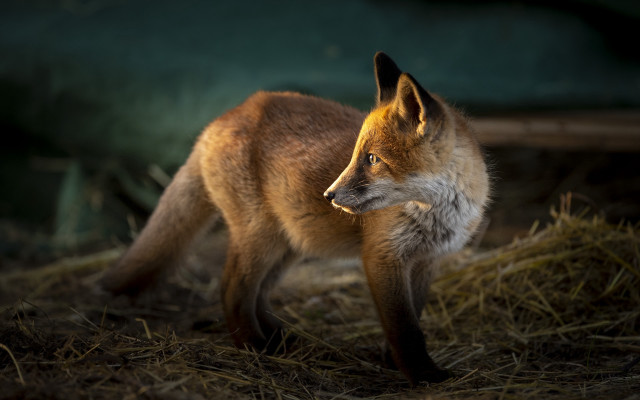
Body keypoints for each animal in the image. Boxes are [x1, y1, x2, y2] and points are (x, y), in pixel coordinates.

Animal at [101, 52, 490, 385]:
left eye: (372, 159)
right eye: (357, 155)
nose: (329, 196)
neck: (439, 211)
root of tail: (222, 117)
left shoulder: (426, 261)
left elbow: (413, 318)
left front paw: (393, 362)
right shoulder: (383, 257)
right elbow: (403, 328)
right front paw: (422, 375)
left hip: (288, 245)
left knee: (258, 293)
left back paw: (279, 339)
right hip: (260, 238)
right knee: (232, 289)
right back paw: (254, 347)